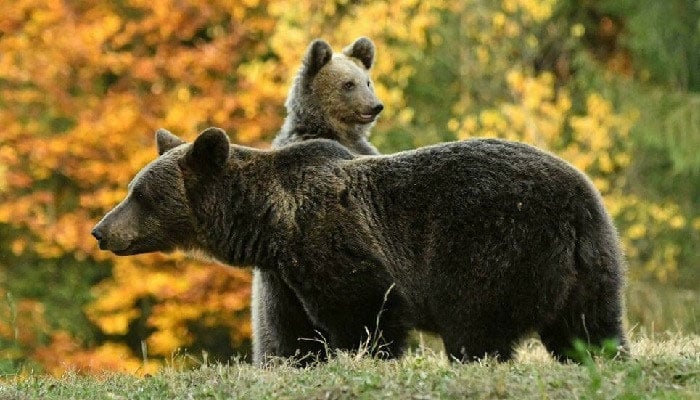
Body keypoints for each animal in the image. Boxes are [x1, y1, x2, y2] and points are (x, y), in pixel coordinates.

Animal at [91, 127, 628, 362]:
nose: (100, 230)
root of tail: (578, 201)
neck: (269, 227)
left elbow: (365, 319)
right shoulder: (285, 277)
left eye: (138, 194)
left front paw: (368, 356)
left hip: (494, 247)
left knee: (476, 327)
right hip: (594, 263)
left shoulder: (334, 250)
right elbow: (293, 334)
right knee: (590, 326)